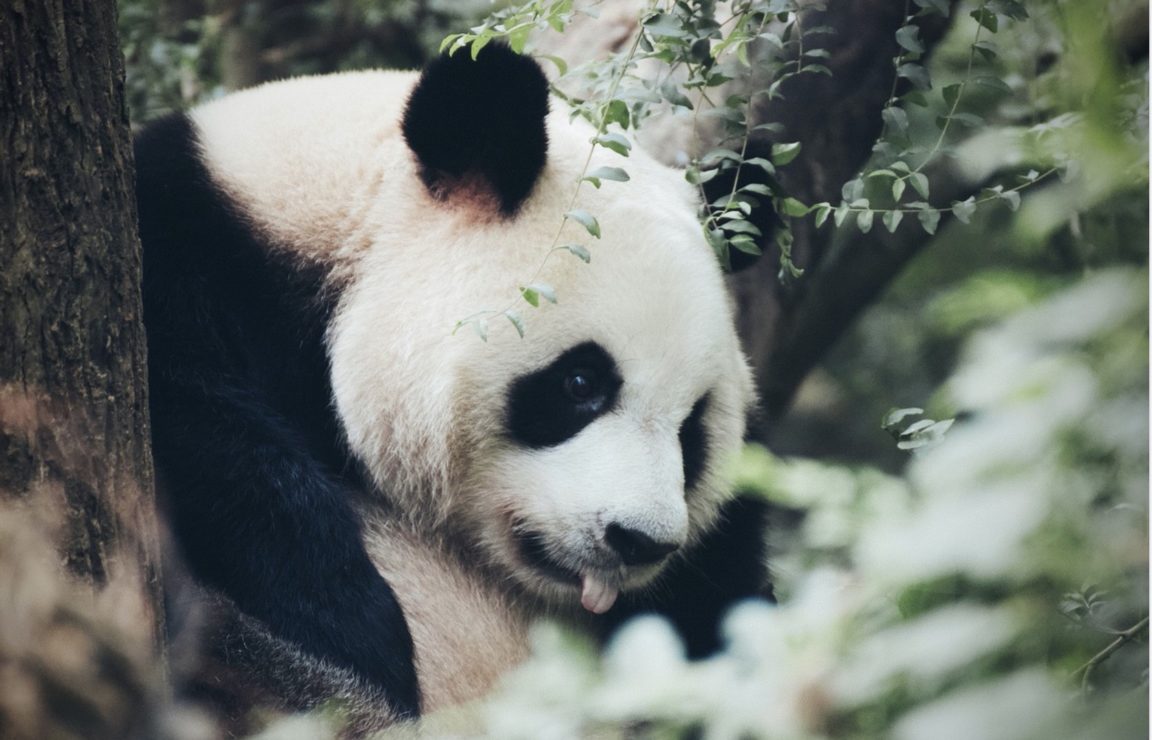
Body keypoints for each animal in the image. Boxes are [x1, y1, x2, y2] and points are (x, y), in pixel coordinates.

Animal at [135, 44, 771, 729]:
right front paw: (352, 625)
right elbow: (209, 434)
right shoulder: (183, 255)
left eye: (693, 428)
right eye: (580, 383)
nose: (639, 541)